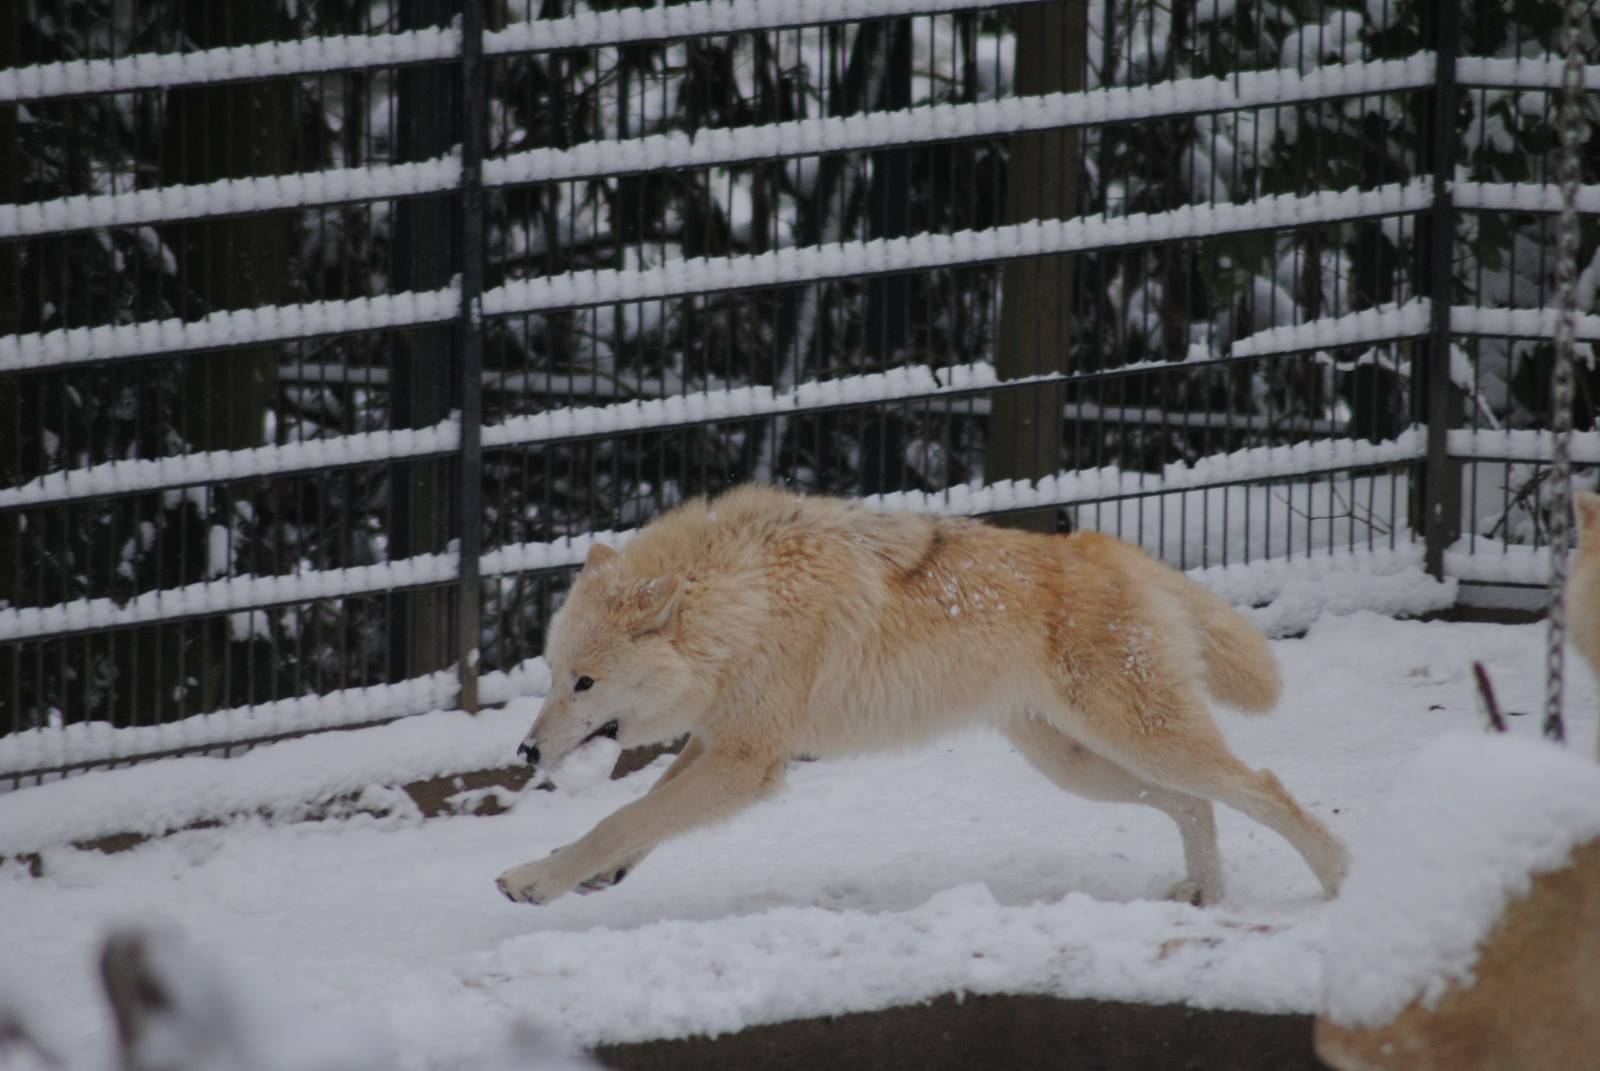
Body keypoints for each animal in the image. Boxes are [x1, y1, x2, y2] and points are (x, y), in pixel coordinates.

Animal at [496, 485, 1347, 907]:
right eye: (551, 674)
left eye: (584, 682)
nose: (527, 750)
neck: (749, 599)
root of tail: (1112, 547)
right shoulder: (720, 742)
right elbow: (643, 814)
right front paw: (588, 873)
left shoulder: (749, 762)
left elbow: (619, 816)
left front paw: (535, 879)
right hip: (1082, 765)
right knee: (1195, 803)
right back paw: (1206, 892)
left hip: (1139, 738)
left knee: (1261, 785)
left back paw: (1339, 882)